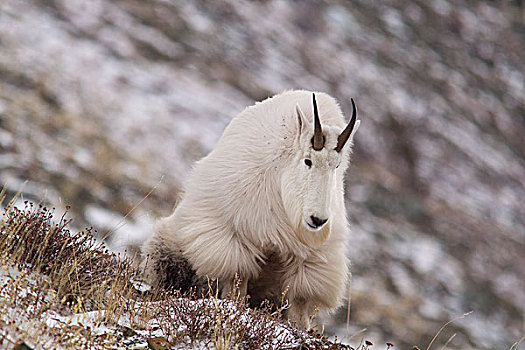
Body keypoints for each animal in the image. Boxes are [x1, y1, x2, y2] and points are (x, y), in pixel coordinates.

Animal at [141, 89, 358, 328]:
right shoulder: (232, 237)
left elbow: (300, 300)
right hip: (166, 248)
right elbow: (237, 281)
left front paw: (301, 329)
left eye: (336, 166)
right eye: (308, 161)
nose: (317, 220)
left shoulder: (313, 257)